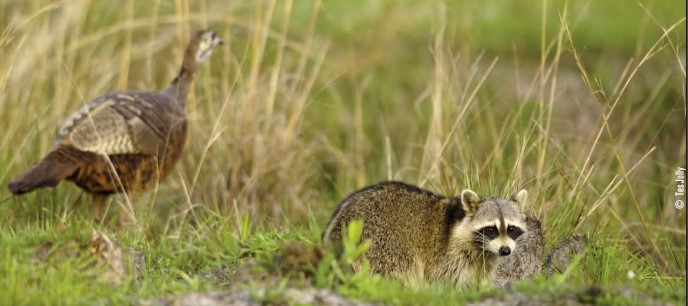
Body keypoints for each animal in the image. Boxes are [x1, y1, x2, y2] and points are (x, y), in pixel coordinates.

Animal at [322, 179, 528, 286]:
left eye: (511, 228)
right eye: (491, 229)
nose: (505, 251)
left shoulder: (483, 259)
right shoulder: (448, 254)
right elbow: (445, 277)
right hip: (379, 240)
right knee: (400, 268)